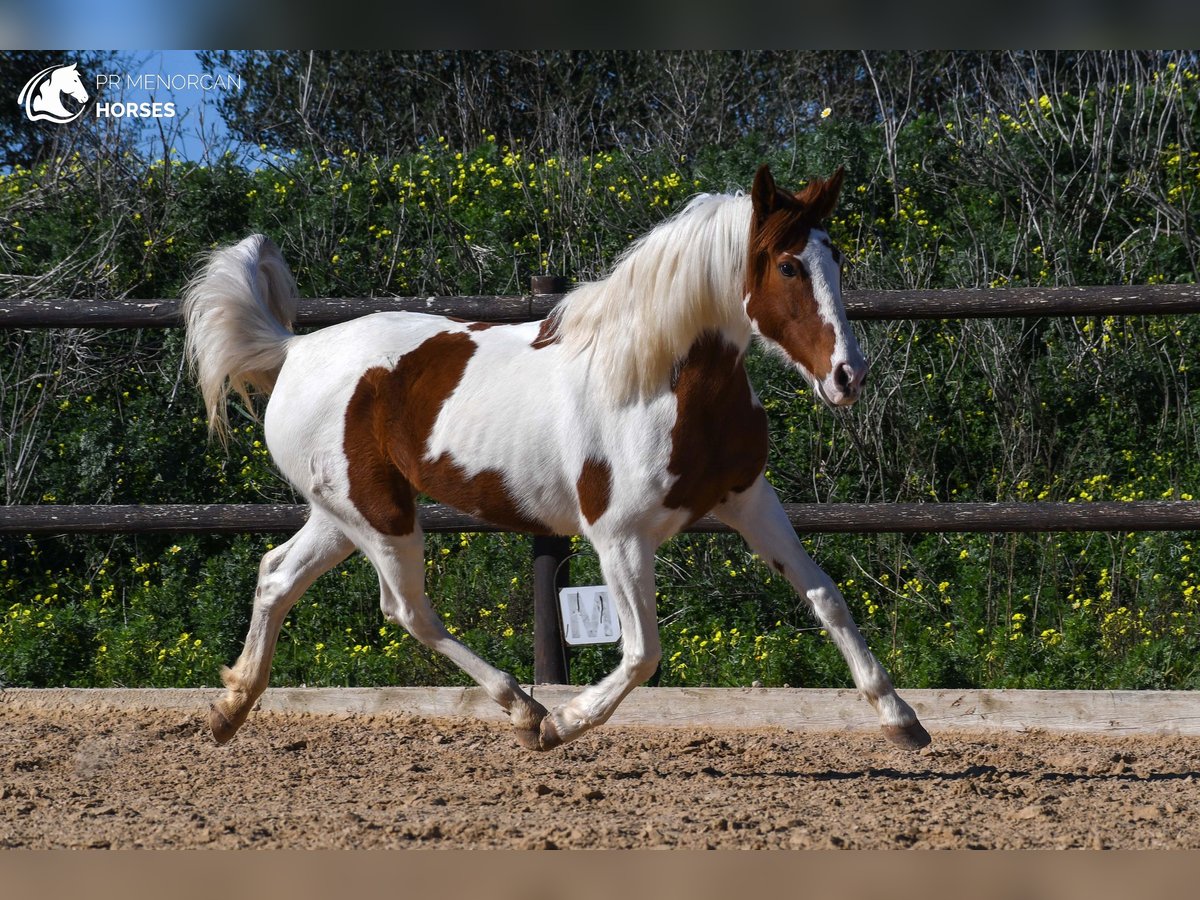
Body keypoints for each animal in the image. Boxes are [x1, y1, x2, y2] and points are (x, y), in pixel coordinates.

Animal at [182, 164, 931, 753]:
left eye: (837, 261)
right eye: (788, 265)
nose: (848, 376)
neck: (653, 383)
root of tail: (294, 350)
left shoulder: (748, 501)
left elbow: (826, 597)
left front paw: (902, 720)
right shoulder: (618, 537)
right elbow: (643, 653)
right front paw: (564, 724)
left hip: (343, 513)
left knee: (278, 575)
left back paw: (228, 711)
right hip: (379, 517)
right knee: (406, 609)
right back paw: (525, 710)